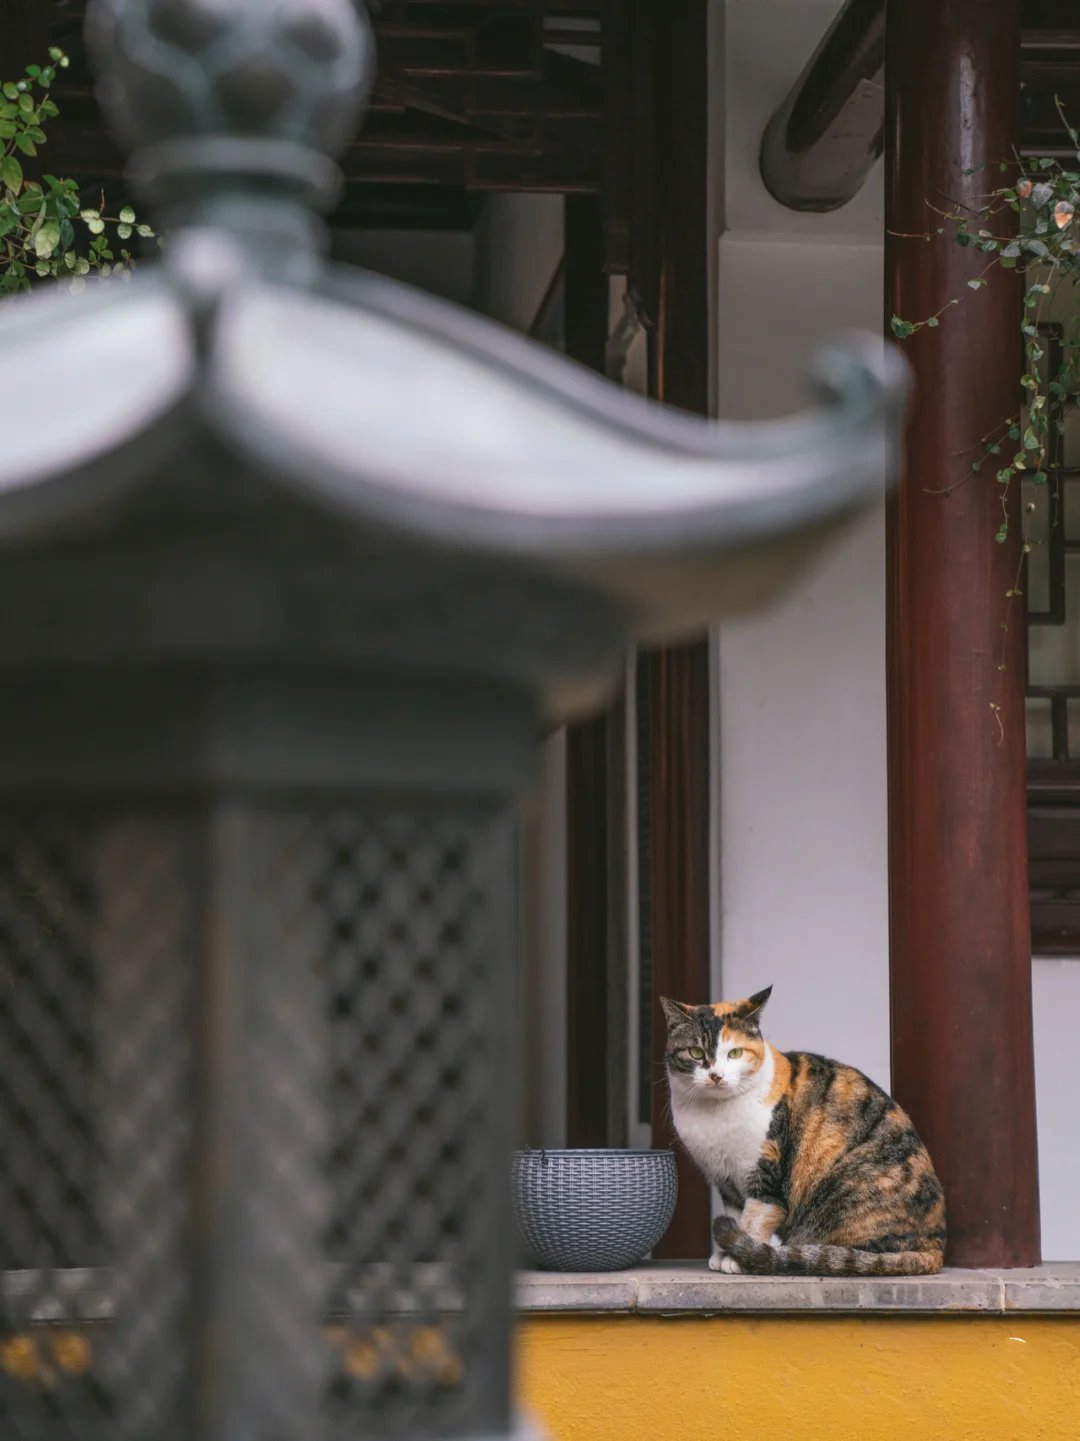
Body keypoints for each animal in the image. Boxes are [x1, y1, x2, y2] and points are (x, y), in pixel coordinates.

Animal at [657, 985, 945, 1279]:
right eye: (695, 1052)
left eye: (735, 1053)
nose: (716, 1076)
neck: (714, 1115)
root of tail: (935, 1246)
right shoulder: (726, 1181)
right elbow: (736, 1215)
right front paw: (727, 1254)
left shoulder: (765, 1176)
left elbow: (754, 1219)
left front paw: (738, 1260)